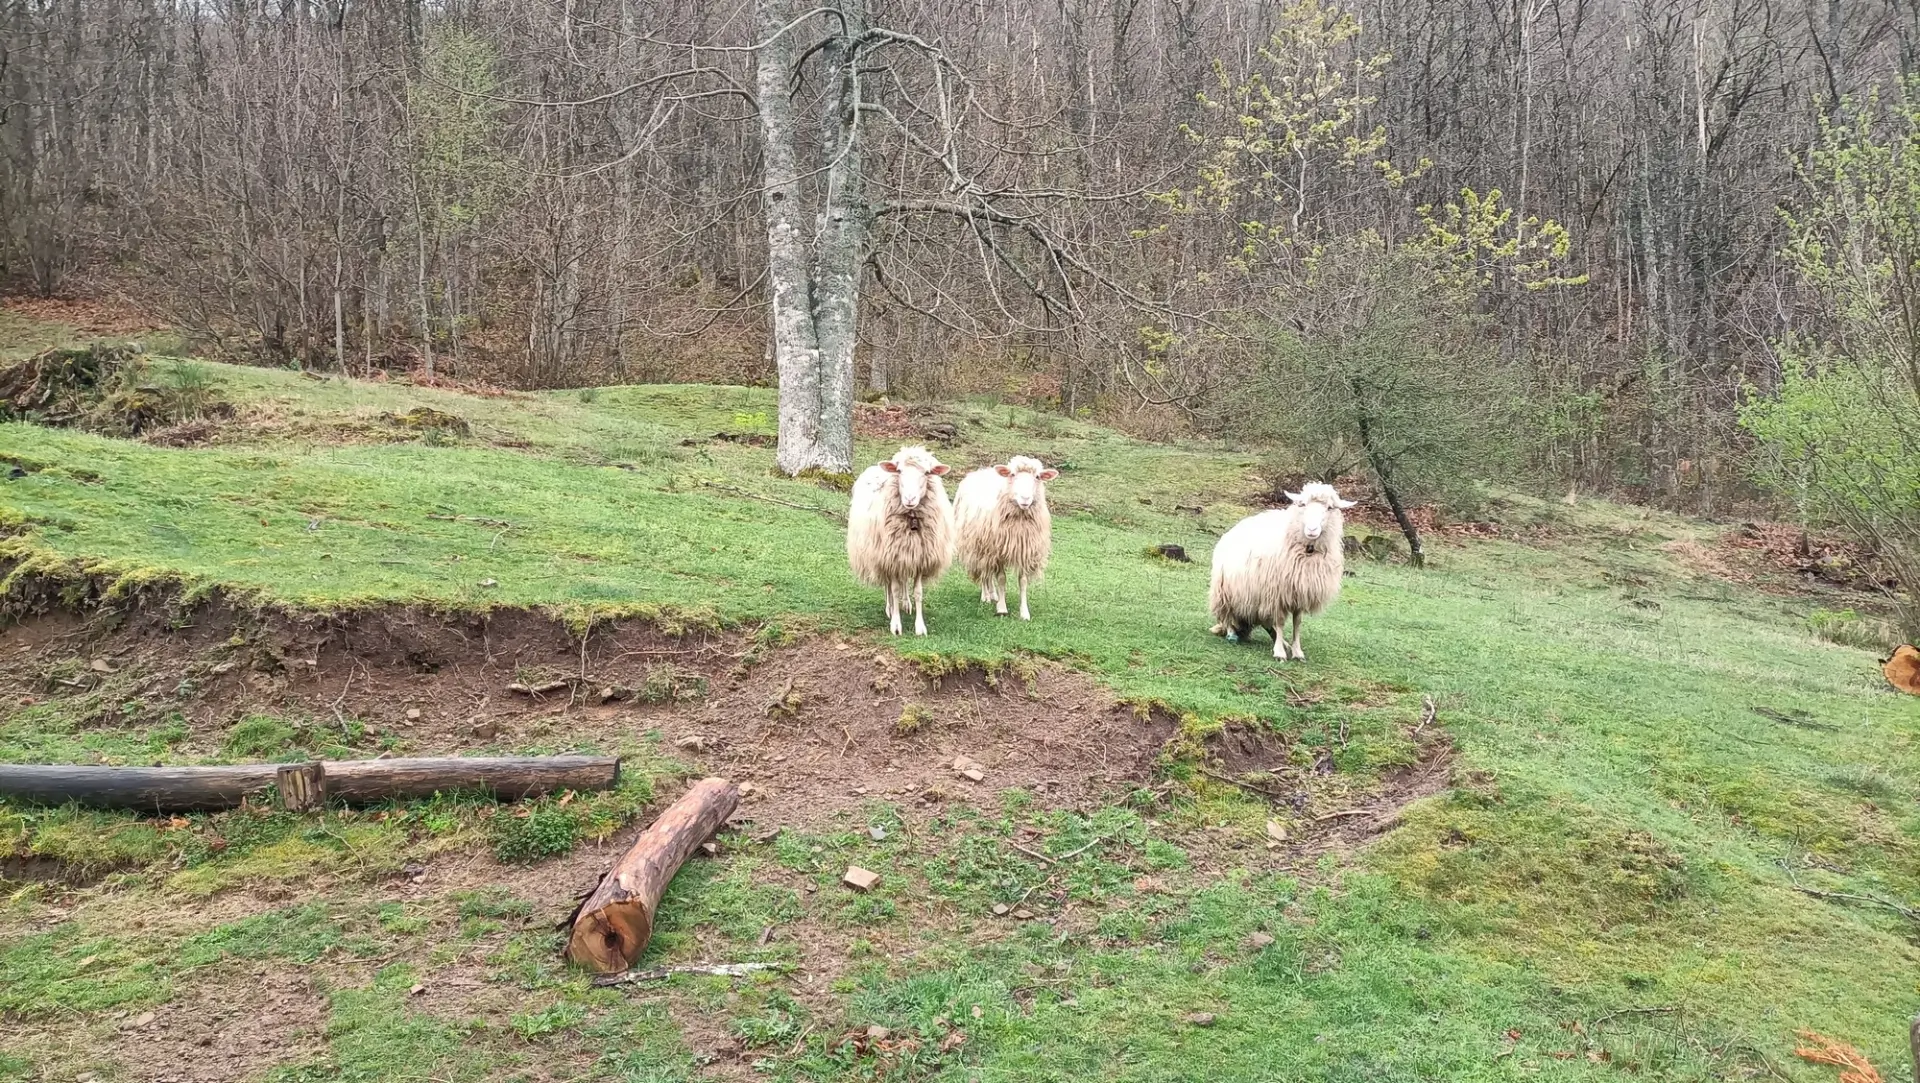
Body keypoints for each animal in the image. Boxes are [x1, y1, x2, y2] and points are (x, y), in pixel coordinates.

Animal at [847, 445, 955, 636]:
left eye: (927, 473)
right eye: (899, 471)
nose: (910, 499)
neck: (911, 519)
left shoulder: (919, 557)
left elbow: (918, 592)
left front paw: (920, 627)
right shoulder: (890, 557)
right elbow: (894, 590)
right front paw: (896, 625)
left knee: (904, 580)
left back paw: (906, 604)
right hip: (882, 556)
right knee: (889, 586)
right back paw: (890, 608)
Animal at [953, 455, 1058, 620]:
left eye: (1037, 477)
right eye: (1012, 475)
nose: (1025, 498)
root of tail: (981, 471)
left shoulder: (1024, 551)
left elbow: (1023, 581)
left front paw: (1024, 612)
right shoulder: (997, 552)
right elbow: (1001, 579)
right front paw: (1002, 609)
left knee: (988, 573)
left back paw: (993, 594)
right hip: (978, 546)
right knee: (984, 572)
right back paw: (985, 596)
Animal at [1207, 482, 1356, 661]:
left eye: (1329, 507)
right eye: (1302, 504)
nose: (1312, 529)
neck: (1307, 549)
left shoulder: (1299, 593)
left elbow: (1297, 623)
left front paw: (1297, 651)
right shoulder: (1276, 594)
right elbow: (1279, 621)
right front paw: (1279, 653)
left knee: (1265, 622)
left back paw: (1283, 643)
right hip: (1225, 590)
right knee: (1228, 614)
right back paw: (1232, 634)